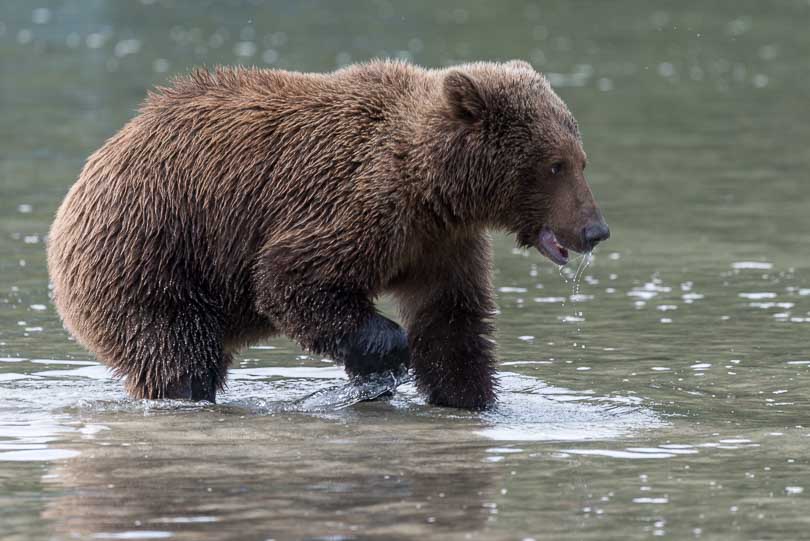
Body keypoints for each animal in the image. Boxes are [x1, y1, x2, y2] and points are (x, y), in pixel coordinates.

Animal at [47, 59, 608, 408]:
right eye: (555, 165)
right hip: (151, 255)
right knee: (176, 353)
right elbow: (289, 277)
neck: (434, 188)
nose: (595, 229)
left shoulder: (442, 244)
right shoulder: (358, 202)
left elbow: (452, 322)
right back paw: (185, 392)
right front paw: (384, 353)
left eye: (580, 160)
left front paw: (471, 398)